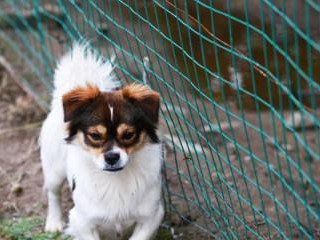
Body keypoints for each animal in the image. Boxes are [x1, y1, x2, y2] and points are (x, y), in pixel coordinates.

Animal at [40, 45, 164, 240]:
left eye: (128, 134)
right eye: (95, 135)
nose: (112, 157)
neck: (114, 180)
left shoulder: (151, 217)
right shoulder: (81, 221)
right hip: (54, 169)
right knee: (53, 193)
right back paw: (54, 222)